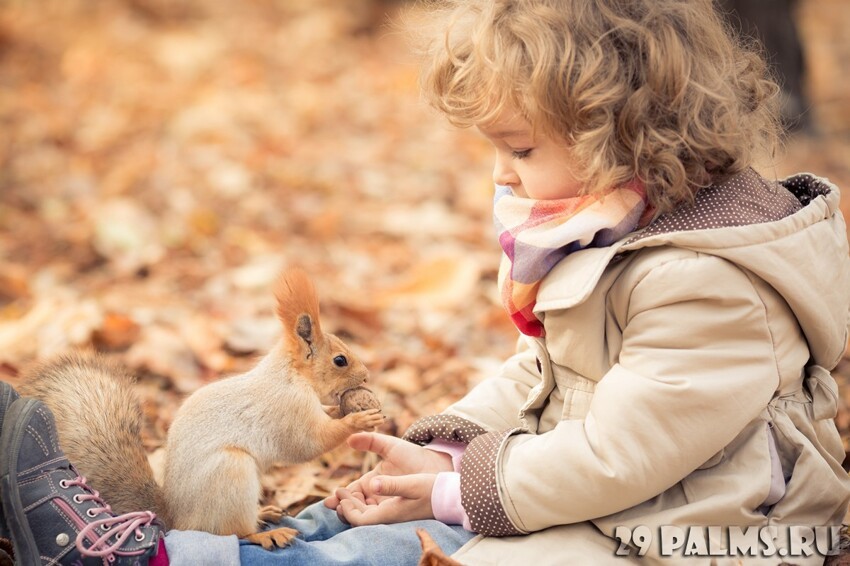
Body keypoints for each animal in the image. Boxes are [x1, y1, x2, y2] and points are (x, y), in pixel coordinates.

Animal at [17, 268, 384, 552]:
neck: (290, 374)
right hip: (231, 472)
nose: (367, 376)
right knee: (231, 531)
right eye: (340, 360)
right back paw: (265, 533)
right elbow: (309, 443)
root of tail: (178, 519)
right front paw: (358, 419)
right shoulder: (288, 408)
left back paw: (264, 515)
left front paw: (345, 412)